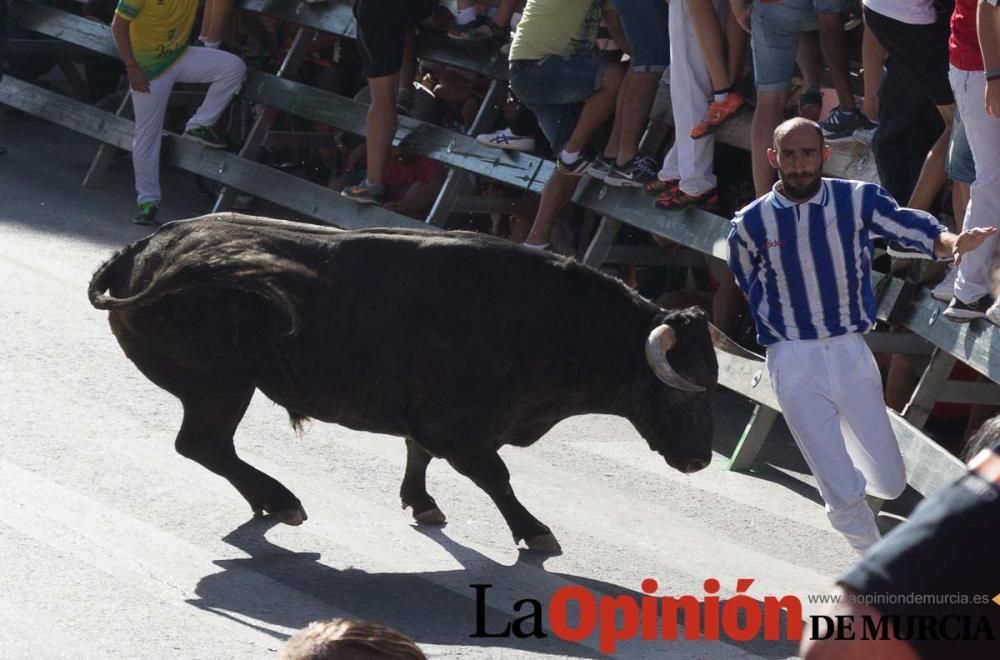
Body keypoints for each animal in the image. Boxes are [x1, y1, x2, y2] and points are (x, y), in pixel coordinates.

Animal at [90, 214, 740, 548]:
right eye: (684, 392)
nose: (699, 460)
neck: (549, 321)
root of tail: (146, 246)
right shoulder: (459, 428)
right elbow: (495, 477)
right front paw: (535, 532)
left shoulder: (430, 420)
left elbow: (418, 455)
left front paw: (421, 503)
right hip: (221, 385)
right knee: (203, 445)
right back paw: (283, 501)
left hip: (220, 387)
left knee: (208, 448)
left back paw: (272, 501)